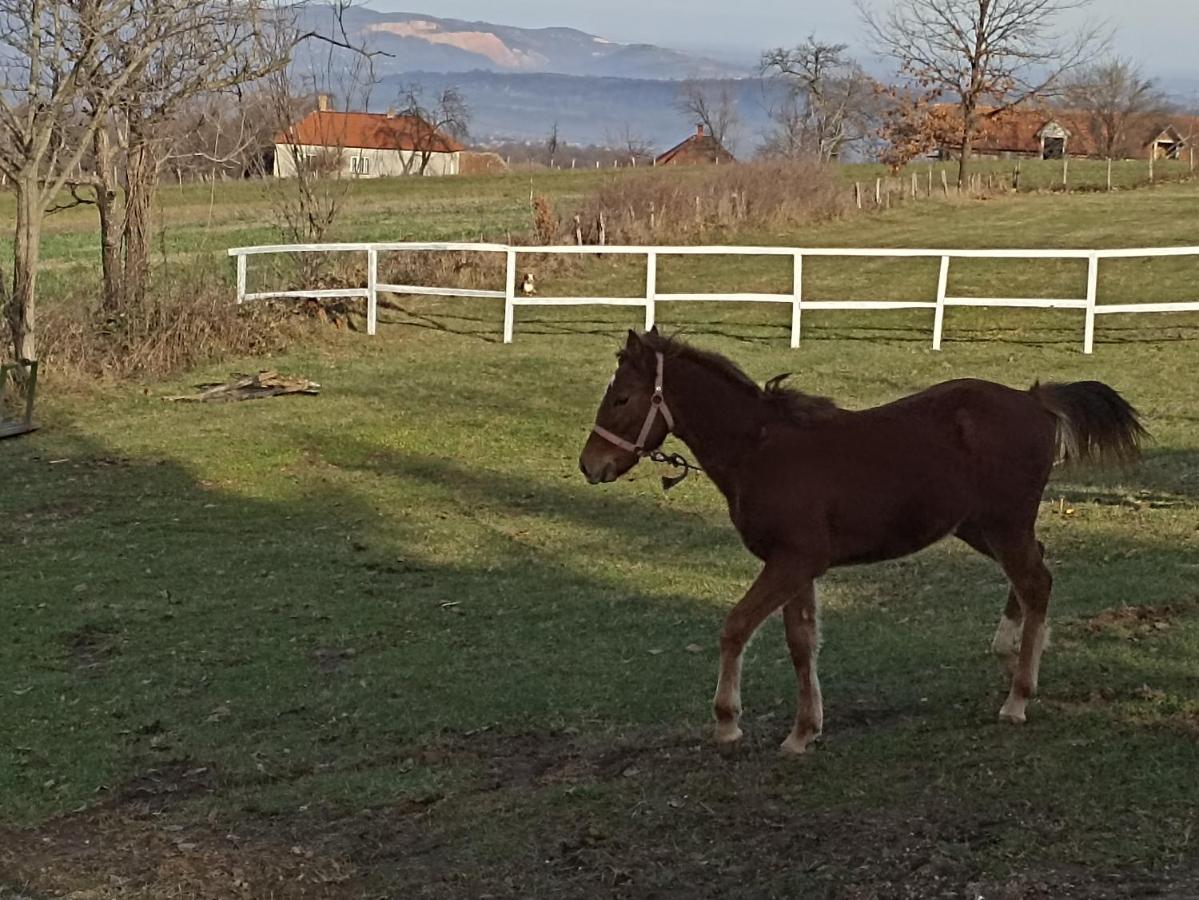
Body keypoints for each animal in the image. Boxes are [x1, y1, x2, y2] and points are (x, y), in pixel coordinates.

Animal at [577, 330, 1141, 752]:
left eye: (622, 398)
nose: (590, 465)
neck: (761, 451)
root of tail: (1033, 399)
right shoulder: (798, 566)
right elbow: (801, 643)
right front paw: (804, 732)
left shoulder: (791, 562)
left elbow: (736, 627)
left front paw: (728, 721)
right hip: (980, 527)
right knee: (1033, 574)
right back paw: (1013, 647)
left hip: (1004, 525)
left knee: (1036, 583)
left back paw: (1018, 698)